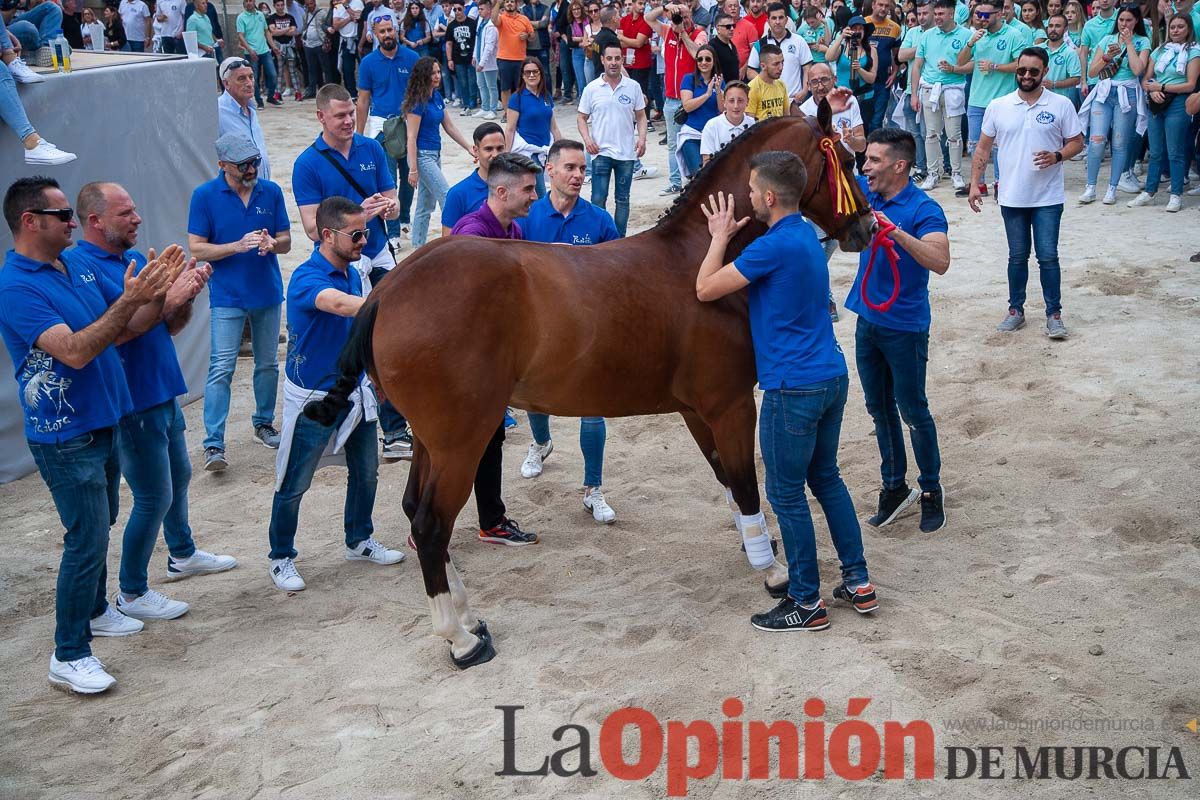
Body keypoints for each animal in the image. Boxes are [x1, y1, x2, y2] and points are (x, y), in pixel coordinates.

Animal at [304, 106, 878, 671]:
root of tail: (387, 291)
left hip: (432, 441)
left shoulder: (698, 411)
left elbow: (728, 480)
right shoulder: (729, 405)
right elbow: (744, 482)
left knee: (415, 512)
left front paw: (759, 551)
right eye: (849, 161)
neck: (700, 261)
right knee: (429, 524)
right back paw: (461, 640)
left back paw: (468, 618)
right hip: (460, 442)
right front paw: (774, 572)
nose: (868, 227)